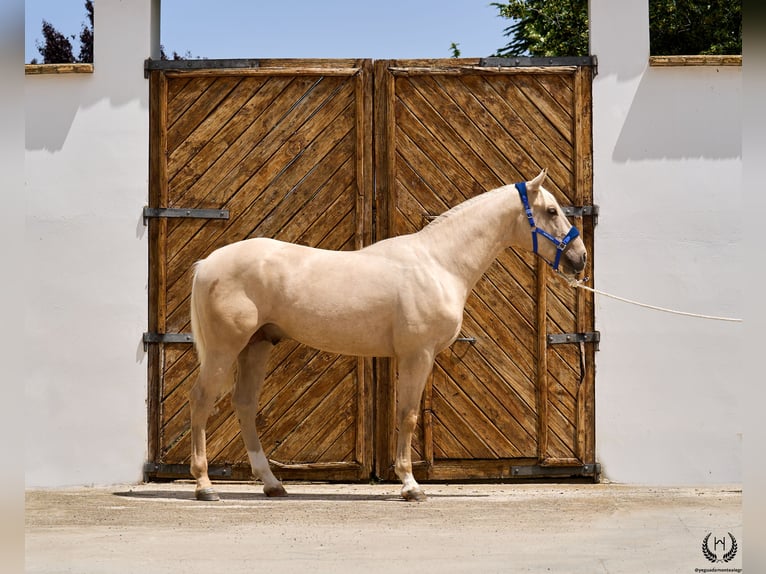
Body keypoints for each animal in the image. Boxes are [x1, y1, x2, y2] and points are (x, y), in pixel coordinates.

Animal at [188, 169, 587, 502]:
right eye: (552, 211)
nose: (579, 259)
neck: (439, 263)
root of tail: (208, 263)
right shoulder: (417, 354)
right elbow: (408, 415)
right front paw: (411, 486)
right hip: (225, 349)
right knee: (202, 401)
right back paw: (205, 486)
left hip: (256, 346)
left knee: (244, 404)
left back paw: (272, 484)